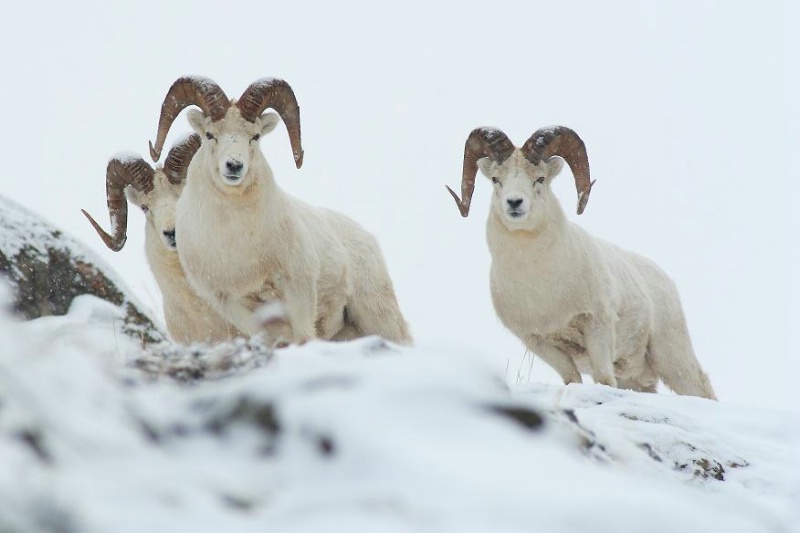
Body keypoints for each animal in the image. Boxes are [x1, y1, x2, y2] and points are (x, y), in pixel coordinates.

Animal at [148, 77, 412, 348]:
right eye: (210, 135)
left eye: (255, 136)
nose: (234, 165)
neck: (239, 244)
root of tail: (365, 236)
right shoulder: (230, 303)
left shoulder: (298, 288)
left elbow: (304, 336)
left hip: (377, 314)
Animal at [446, 127, 716, 396]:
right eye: (495, 179)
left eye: (540, 179)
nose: (514, 203)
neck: (539, 284)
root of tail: (665, 280)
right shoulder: (539, 342)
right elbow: (572, 379)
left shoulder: (597, 326)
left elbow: (604, 379)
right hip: (635, 378)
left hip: (671, 357)